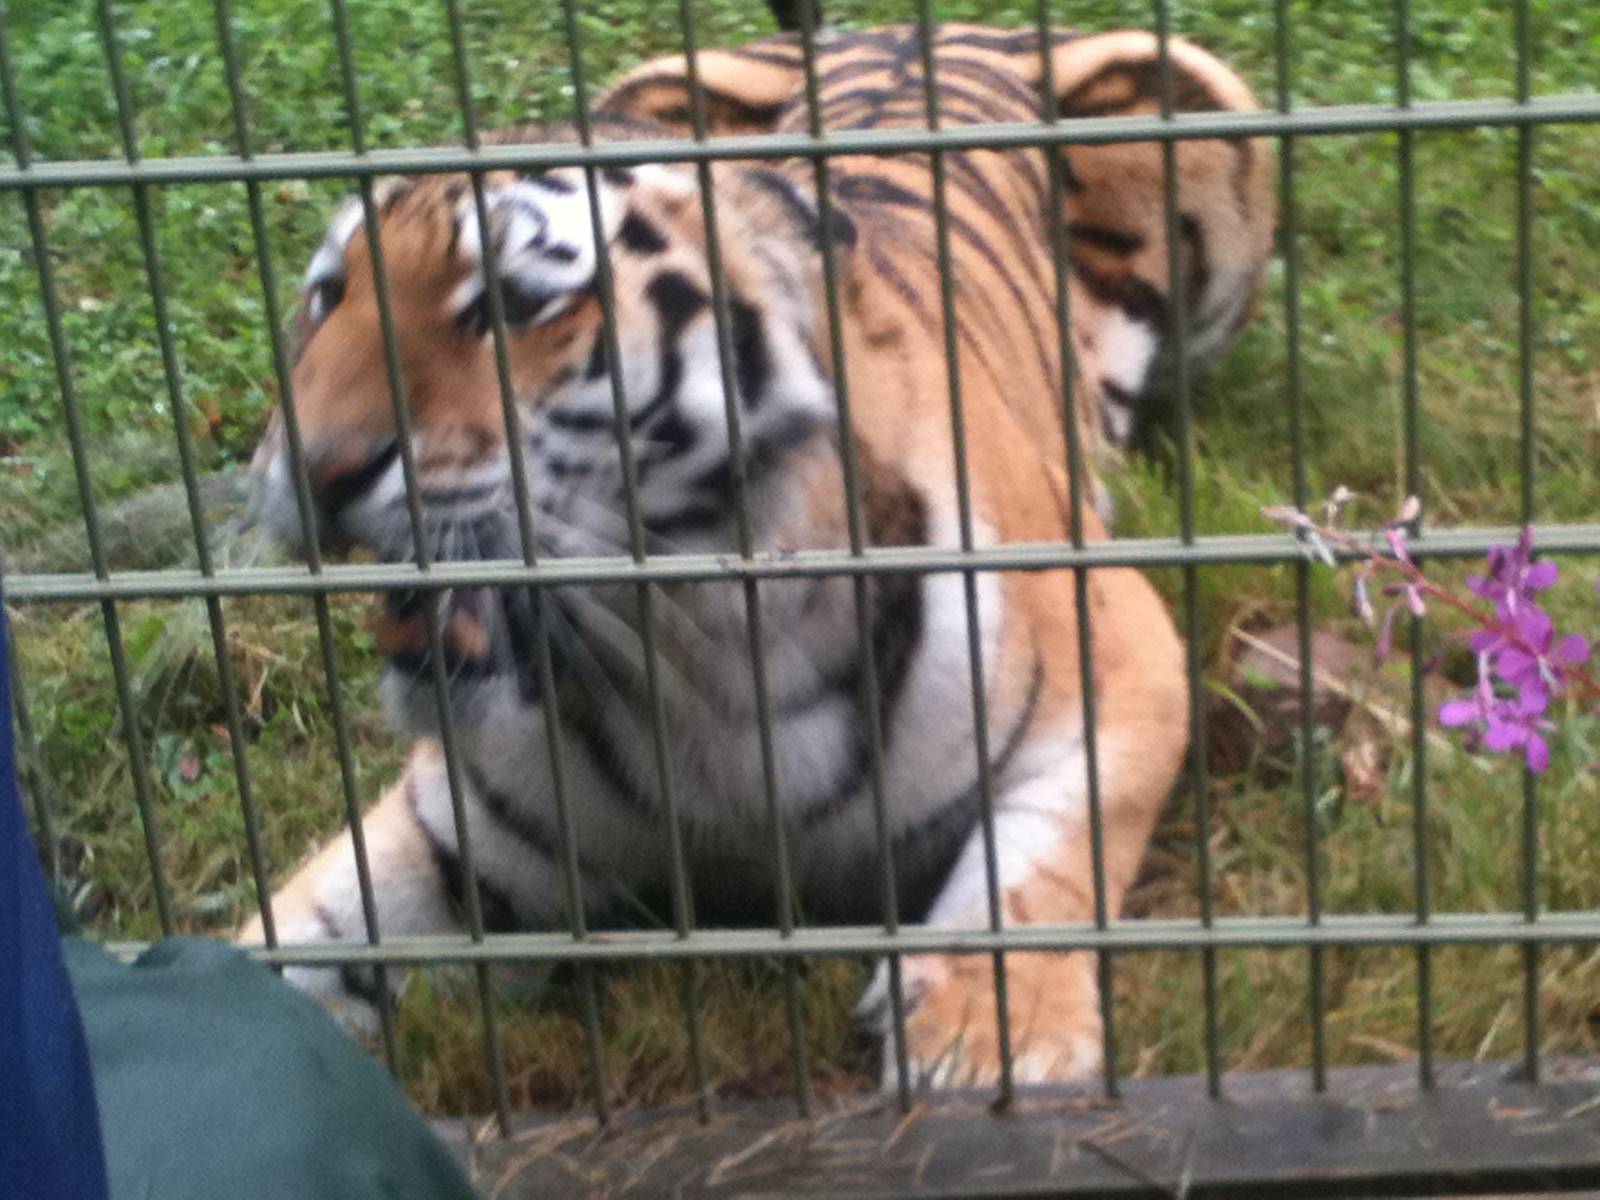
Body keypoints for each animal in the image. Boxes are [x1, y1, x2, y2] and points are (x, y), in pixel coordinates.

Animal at [241, 22, 1273, 1091]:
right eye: (326, 298)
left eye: (516, 306)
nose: (313, 470)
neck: (699, 660)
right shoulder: (454, 827)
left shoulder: (1125, 660)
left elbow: (1044, 863)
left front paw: (985, 1042)